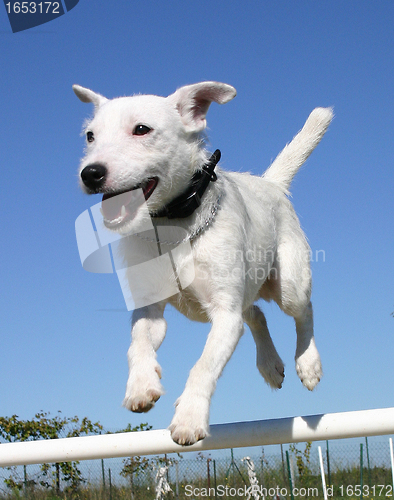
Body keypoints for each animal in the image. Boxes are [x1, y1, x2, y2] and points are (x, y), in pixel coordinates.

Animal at [72, 82, 330, 446]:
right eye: (90, 136)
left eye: (141, 129)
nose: (90, 173)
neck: (172, 227)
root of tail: (271, 183)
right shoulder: (150, 311)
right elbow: (138, 344)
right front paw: (141, 386)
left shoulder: (224, 315)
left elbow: (203, 366)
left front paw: (189, 417)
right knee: (255, 313)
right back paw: (269, 364)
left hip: (289, 285)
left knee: (303, 311)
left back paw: (308, 362)